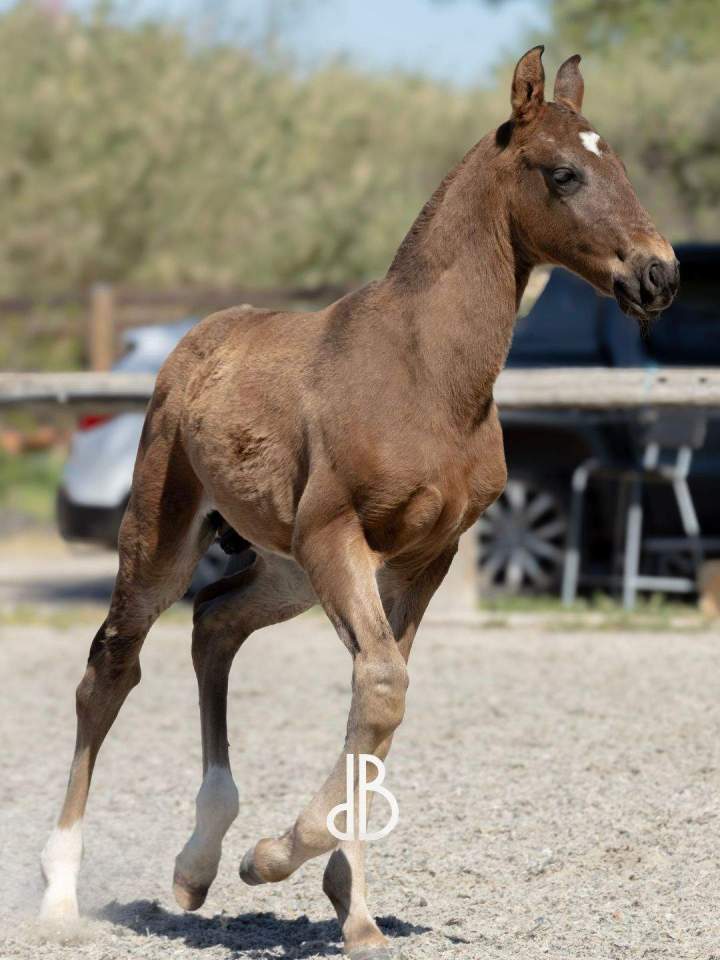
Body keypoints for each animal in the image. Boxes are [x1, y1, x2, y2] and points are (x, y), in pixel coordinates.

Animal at [41, 47, 678, 958]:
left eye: (617, 164)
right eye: (563, 173)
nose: (659, 273)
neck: (428, 371)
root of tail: (194, 341)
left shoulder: (423, 556)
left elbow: (380, 701)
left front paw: (353, 904)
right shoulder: (338, 534)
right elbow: (379, 687)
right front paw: (273, 859)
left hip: (284, 567)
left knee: (216, 623)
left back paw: (198, 861)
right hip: (169, 537)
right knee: (111, 669)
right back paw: (63, 893)